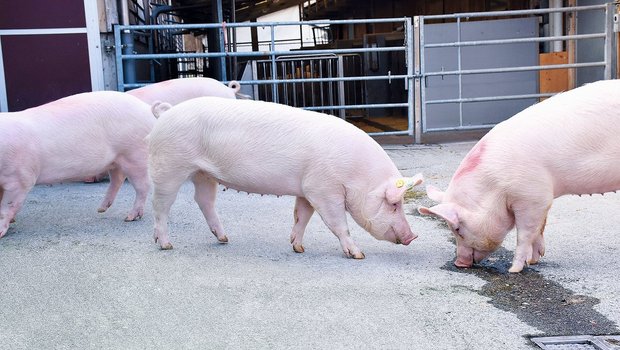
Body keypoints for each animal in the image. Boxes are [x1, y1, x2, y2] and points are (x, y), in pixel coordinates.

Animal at [0, 90, 154, 239]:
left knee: (143, 185)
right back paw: (101, 209)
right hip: (115, 160)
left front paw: (1, 233)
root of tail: (147, 109)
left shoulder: (20, 178)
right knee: (118, 179)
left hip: (134, 154)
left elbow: (6, 206)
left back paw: (129, 217)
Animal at [148, 97, 424, 258]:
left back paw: (224, 239)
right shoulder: (323, 189)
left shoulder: (306, 190)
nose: (413, 236)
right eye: (394, 204)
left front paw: (298, 247)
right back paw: (165, 244)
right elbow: (338, 223)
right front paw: (357, 254)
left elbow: (301, 217)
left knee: (204, 200)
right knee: (160, 206)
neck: (355, 175)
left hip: (203, 173)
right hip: (169, 166)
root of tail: (166, 113)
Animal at [418, 80, 620, 274]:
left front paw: (514, 269)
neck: (494, 185)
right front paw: (534, 261)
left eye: (458, 228)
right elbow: (540, 228)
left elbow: (524, 234)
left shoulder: (532, 196)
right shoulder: (541, 199)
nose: (459, 263)